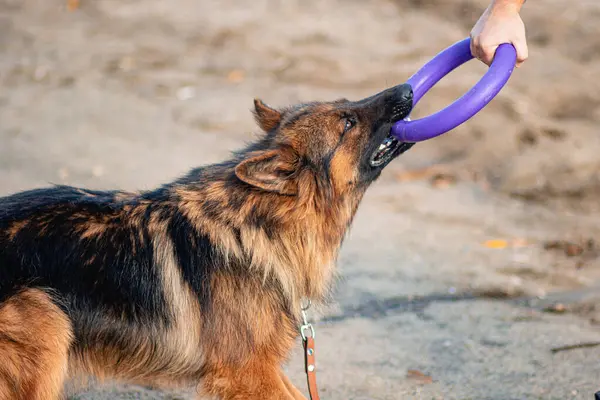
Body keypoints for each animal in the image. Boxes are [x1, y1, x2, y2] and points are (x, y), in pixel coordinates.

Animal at [0, 83, 412, 398]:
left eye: (347, 104)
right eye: (347, 122)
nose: (406, 90)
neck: (257, 226)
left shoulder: (260, 368)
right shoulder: (246, 372)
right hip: (49, 328)